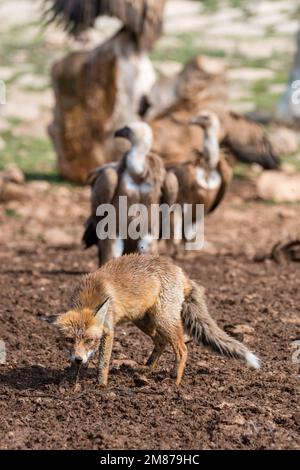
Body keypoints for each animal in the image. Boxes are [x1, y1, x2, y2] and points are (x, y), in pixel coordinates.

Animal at [55, 253, 260, 386]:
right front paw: (72, 377)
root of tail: (181, 273)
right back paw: (147, 369)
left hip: (163, 319)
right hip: (144, 320)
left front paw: (100, 385)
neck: (91, 294)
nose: (79, 359)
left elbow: (103, 363)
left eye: (90, 340)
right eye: (69, 340)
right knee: (161, 342)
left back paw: (175, 382)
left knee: (182, 349)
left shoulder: (109, 330)